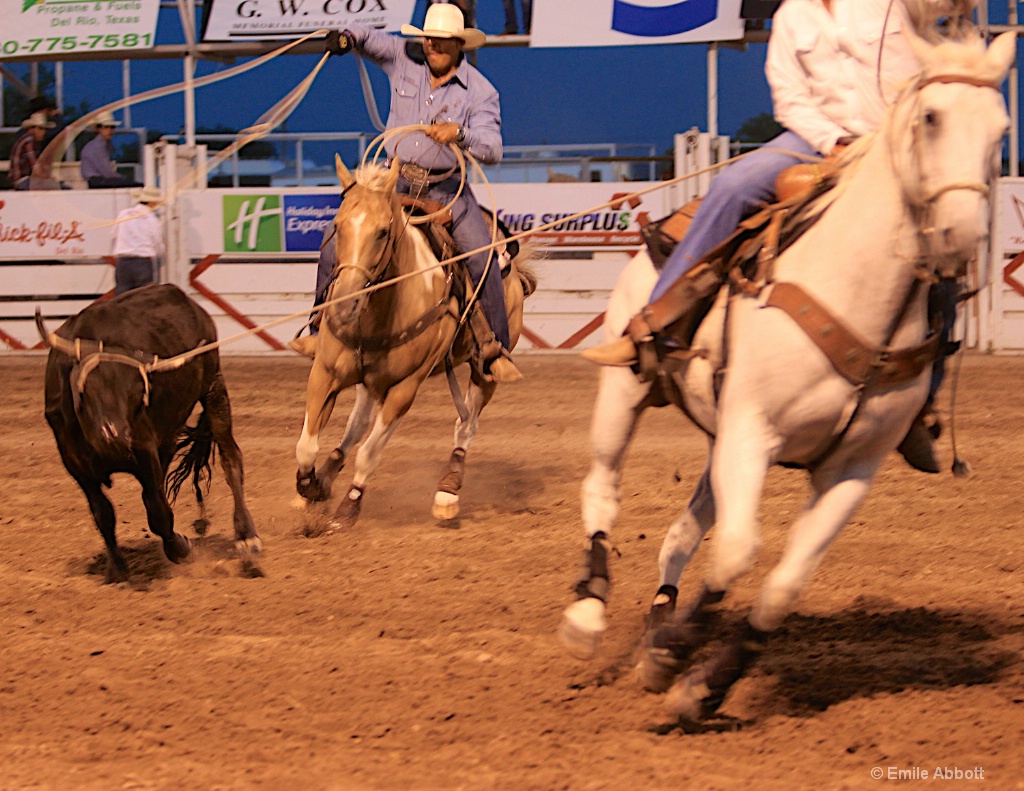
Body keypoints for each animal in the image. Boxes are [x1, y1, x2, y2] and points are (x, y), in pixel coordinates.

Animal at [294, 155, 540, 528]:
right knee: (357, 424)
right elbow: (307, 446)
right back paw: (327, 473)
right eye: (337, 225)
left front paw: (349, 507)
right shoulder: (325, 372)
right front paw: (310, 486)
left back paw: (447, 492)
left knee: (466, 425)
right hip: (370, 381)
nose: (345, 306)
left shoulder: (404, 389)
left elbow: (370, 453)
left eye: (383, 231)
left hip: (484, 369)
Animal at [565, 29, 1019, 721]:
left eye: (1000, 129)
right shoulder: (753, 433)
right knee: (603, 488)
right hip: (626, 391)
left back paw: (659, 618)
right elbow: (736, 553)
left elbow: (782, 583)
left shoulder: (850, 468)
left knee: (681, 533)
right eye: (931, 117)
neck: (858, 295)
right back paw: (589, 615)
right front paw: (672, 656)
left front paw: (701, 681)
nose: (960, 236)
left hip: (718, 436)